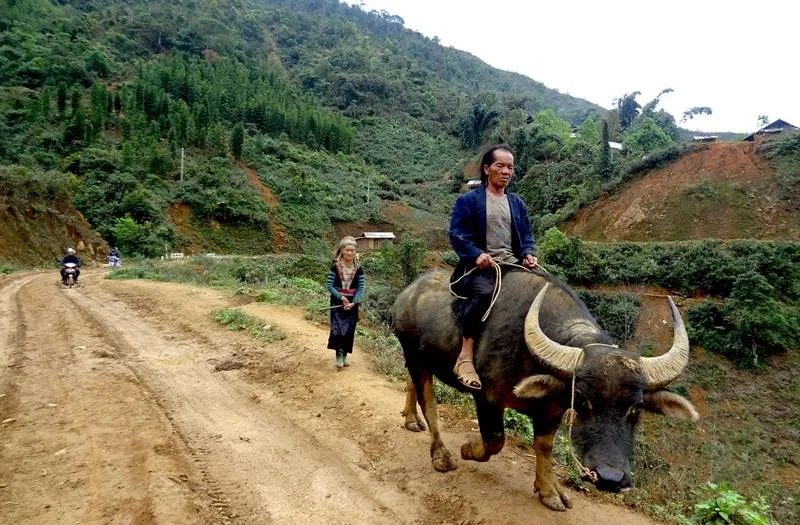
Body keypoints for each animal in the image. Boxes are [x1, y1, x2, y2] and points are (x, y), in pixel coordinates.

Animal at [394, 268, 700, 510]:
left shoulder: (552, 409)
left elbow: (544, 446)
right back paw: (440, 454)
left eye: (635, 408)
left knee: (411, 381)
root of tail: (406, 295)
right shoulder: (488, 397)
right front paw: (468, 449)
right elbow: (495, 440)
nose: (611, 478)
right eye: (583, 401)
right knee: (429, 401)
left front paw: (549, 491)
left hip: (420, 359)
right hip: (415, 355)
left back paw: (410, 419)